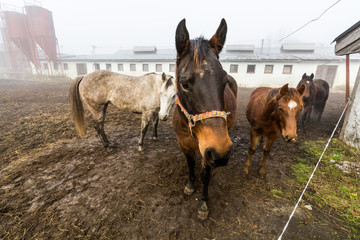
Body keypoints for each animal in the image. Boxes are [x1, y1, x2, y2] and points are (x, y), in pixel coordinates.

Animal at [173, 18, 238, 219]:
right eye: (184, 84)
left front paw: (203, 204)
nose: (221, 153)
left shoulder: (207, 152)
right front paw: (190, 186)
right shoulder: (185, 145)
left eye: (224, 82)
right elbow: (190, 166)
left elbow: (205, 175)